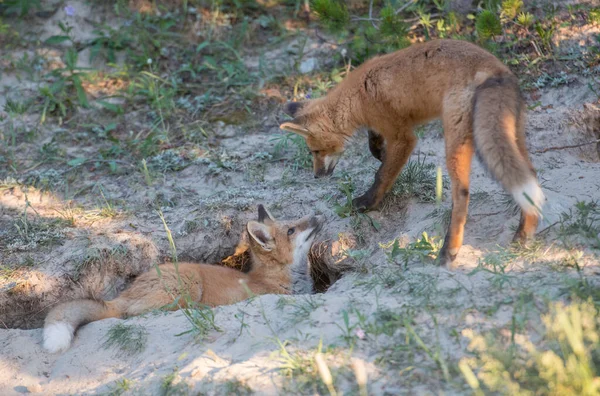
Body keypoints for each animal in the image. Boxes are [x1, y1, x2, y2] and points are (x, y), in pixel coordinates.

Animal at [280, 39, 544, 266]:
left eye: (314, 151)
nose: (316, 176)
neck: (358, 95)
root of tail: (493, 67)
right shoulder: (386, 126)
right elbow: (374, 143)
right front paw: (379, 151)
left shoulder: (403, 137)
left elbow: (382, 175)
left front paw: (367, 202)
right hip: (511, 137)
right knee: (529, 178)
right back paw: (523, 234)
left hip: (455, 141)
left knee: (462, 194)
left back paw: (449, 250)